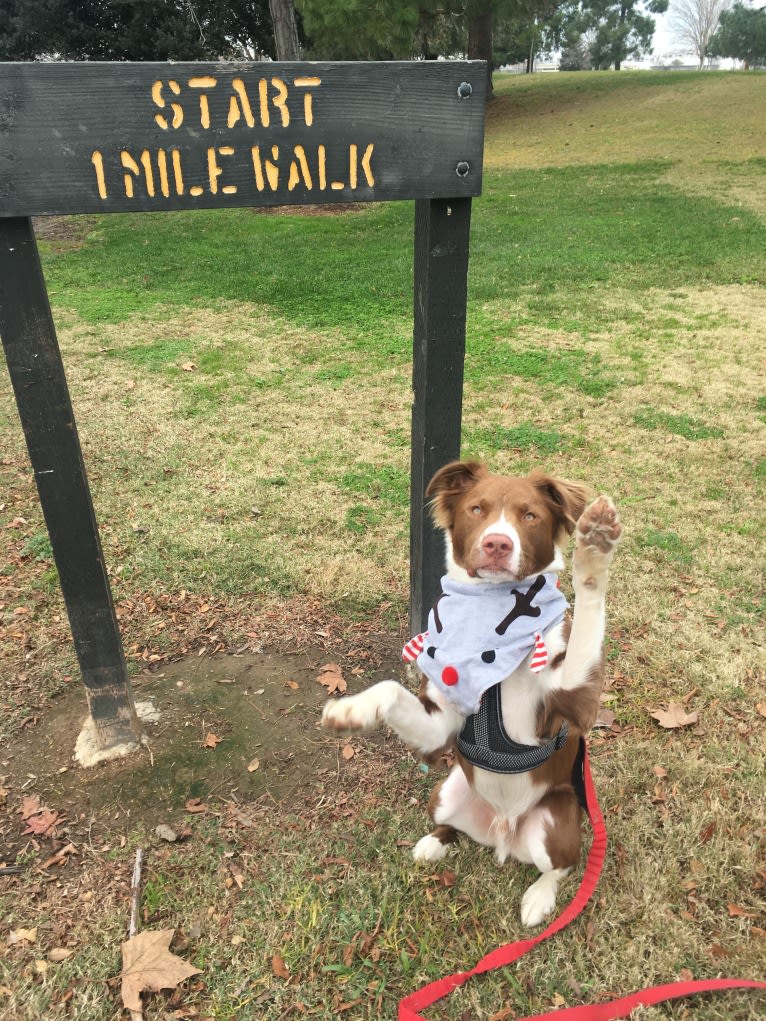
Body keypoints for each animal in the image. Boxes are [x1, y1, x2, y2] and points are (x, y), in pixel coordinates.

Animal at [320, 461, 620, 927]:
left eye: (530, 515)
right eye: (477, 508)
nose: (497, 543)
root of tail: (503, 834)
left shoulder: (575, 697)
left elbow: (588, 613)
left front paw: (595, 547)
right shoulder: (438, 720)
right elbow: (390, 689)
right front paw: (351, 710)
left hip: (554, 825)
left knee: (563, 865)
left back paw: (539, 898)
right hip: (444, 794)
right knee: (451, 826)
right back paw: (433, 843)